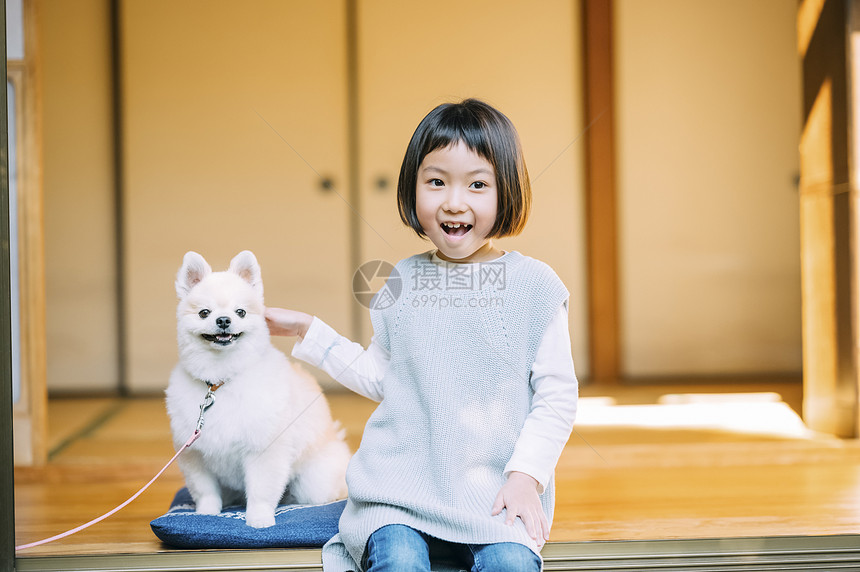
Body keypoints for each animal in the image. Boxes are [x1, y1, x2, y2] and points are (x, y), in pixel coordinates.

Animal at [166, 252, 352, 528]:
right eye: (204, 313)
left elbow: (261, 490)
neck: (221, 380)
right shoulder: (194, 455)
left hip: (313, 482)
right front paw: (206, 513)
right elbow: (205, 490)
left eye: (241, 312)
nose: (224, 320)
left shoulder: (264, 449)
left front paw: (259, 518)